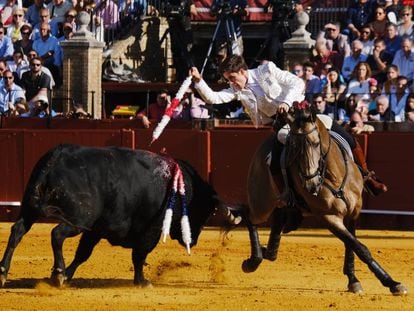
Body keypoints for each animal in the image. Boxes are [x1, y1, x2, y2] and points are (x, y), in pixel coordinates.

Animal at [0, 144, 239, 288]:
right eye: (204, 212)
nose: (194, 240)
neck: (181, 188)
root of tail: (56, 157)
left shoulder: (95, 230)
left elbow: (83, 254)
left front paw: (68, 275)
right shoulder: (150, 231)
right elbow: (139, 256)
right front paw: (142, 281)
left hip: (30, 209)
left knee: (17, 231)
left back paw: (3, 272)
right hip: (78, 218)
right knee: (56, 235)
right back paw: (56, 272)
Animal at [239, 104, 408, 294]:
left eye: (316, 143)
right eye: (292, 147)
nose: (310, 185)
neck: (333, 176)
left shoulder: (354, 211)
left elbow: (351, 244)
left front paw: (356, 280)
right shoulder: (328, 216)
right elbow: (359, 247)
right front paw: (389, 282)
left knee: (275, 221)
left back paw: (267, 250)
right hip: (261, 204)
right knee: (247, 214)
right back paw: (253, 260)